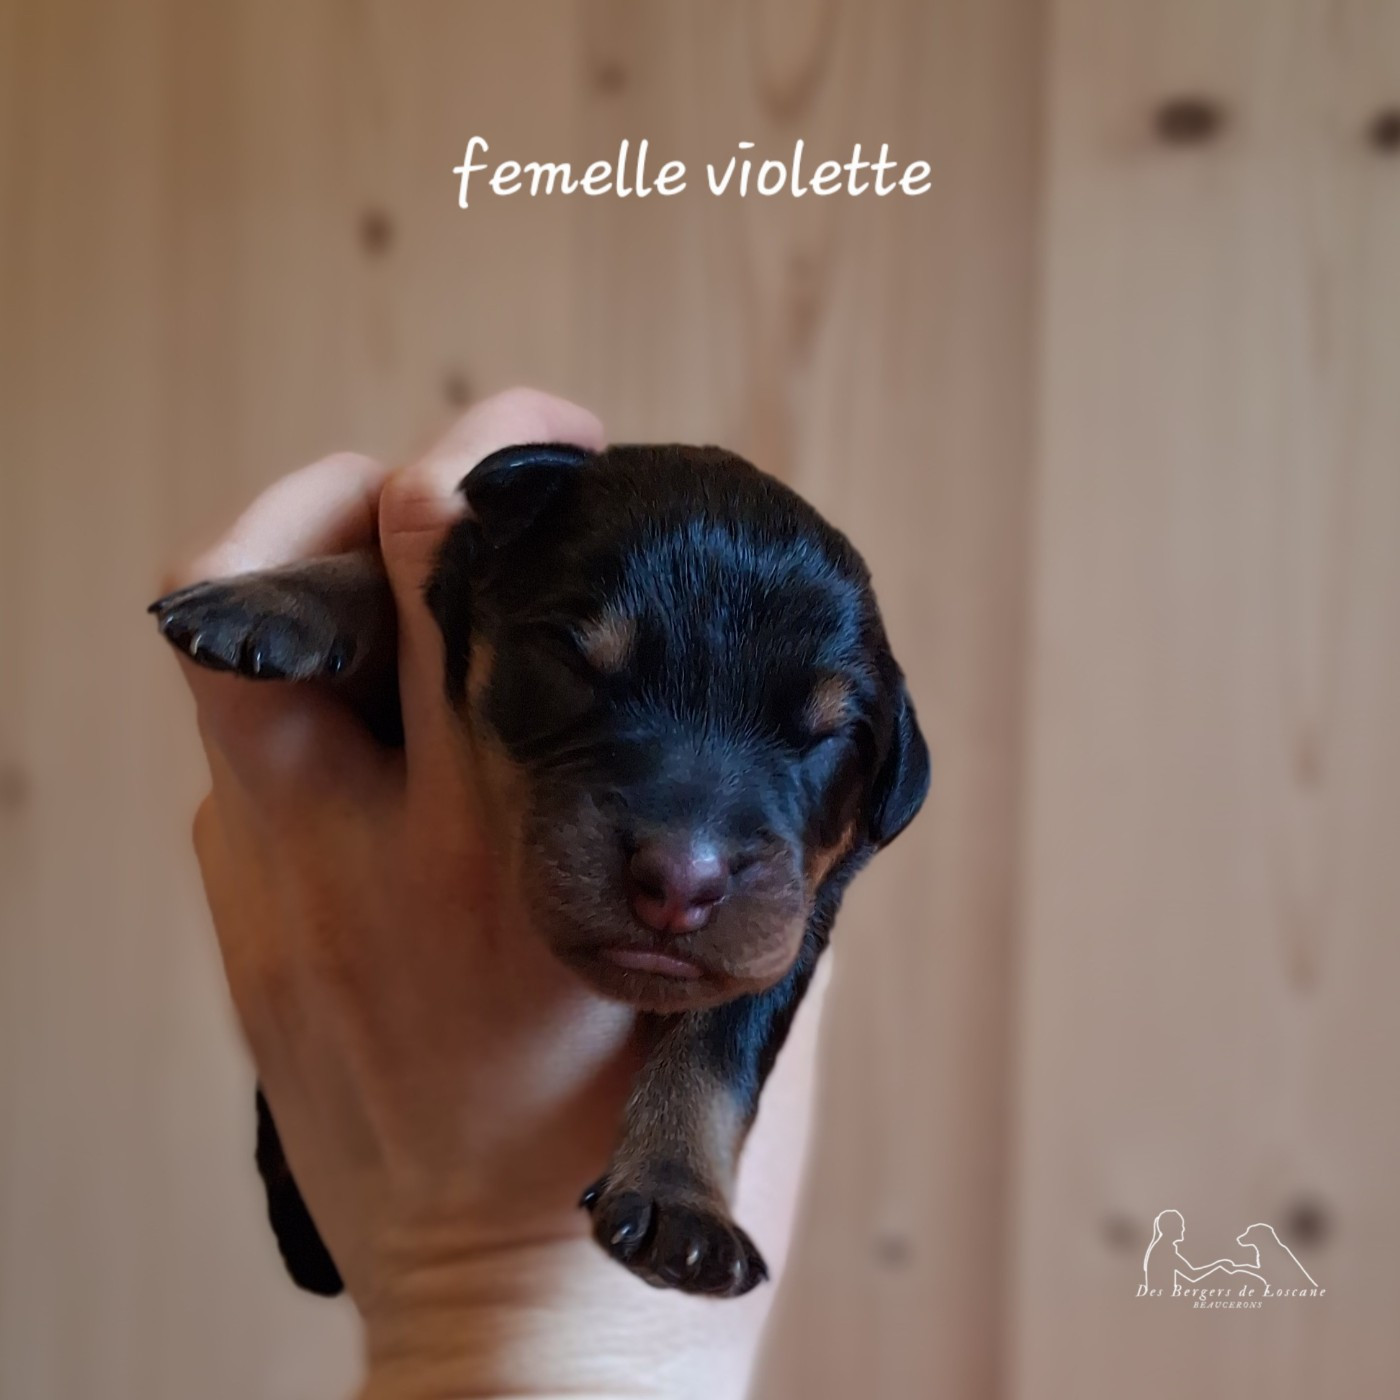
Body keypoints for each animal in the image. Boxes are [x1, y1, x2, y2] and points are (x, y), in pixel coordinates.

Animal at [150, 442, 929, 1298]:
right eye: (571, 661)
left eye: (833, 739)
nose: (682, 882)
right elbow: (402, 578)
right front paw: (279, 597)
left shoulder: (792, 934)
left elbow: (715, 1055)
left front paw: (678, 1200)